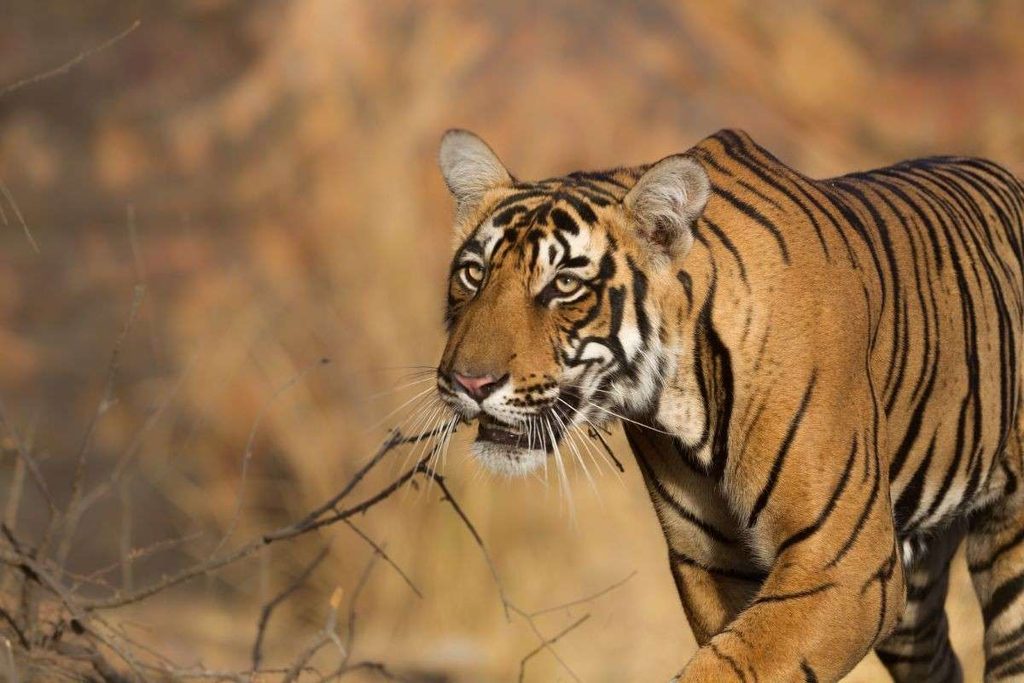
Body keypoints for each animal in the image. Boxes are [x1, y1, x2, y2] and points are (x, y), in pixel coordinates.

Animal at [432, 127, 1024, 682]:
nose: (469, 382)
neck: (679, 397)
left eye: (565, 285)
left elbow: (733, 664)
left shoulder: (844, 562)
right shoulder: (715, 561)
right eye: (473, 274)